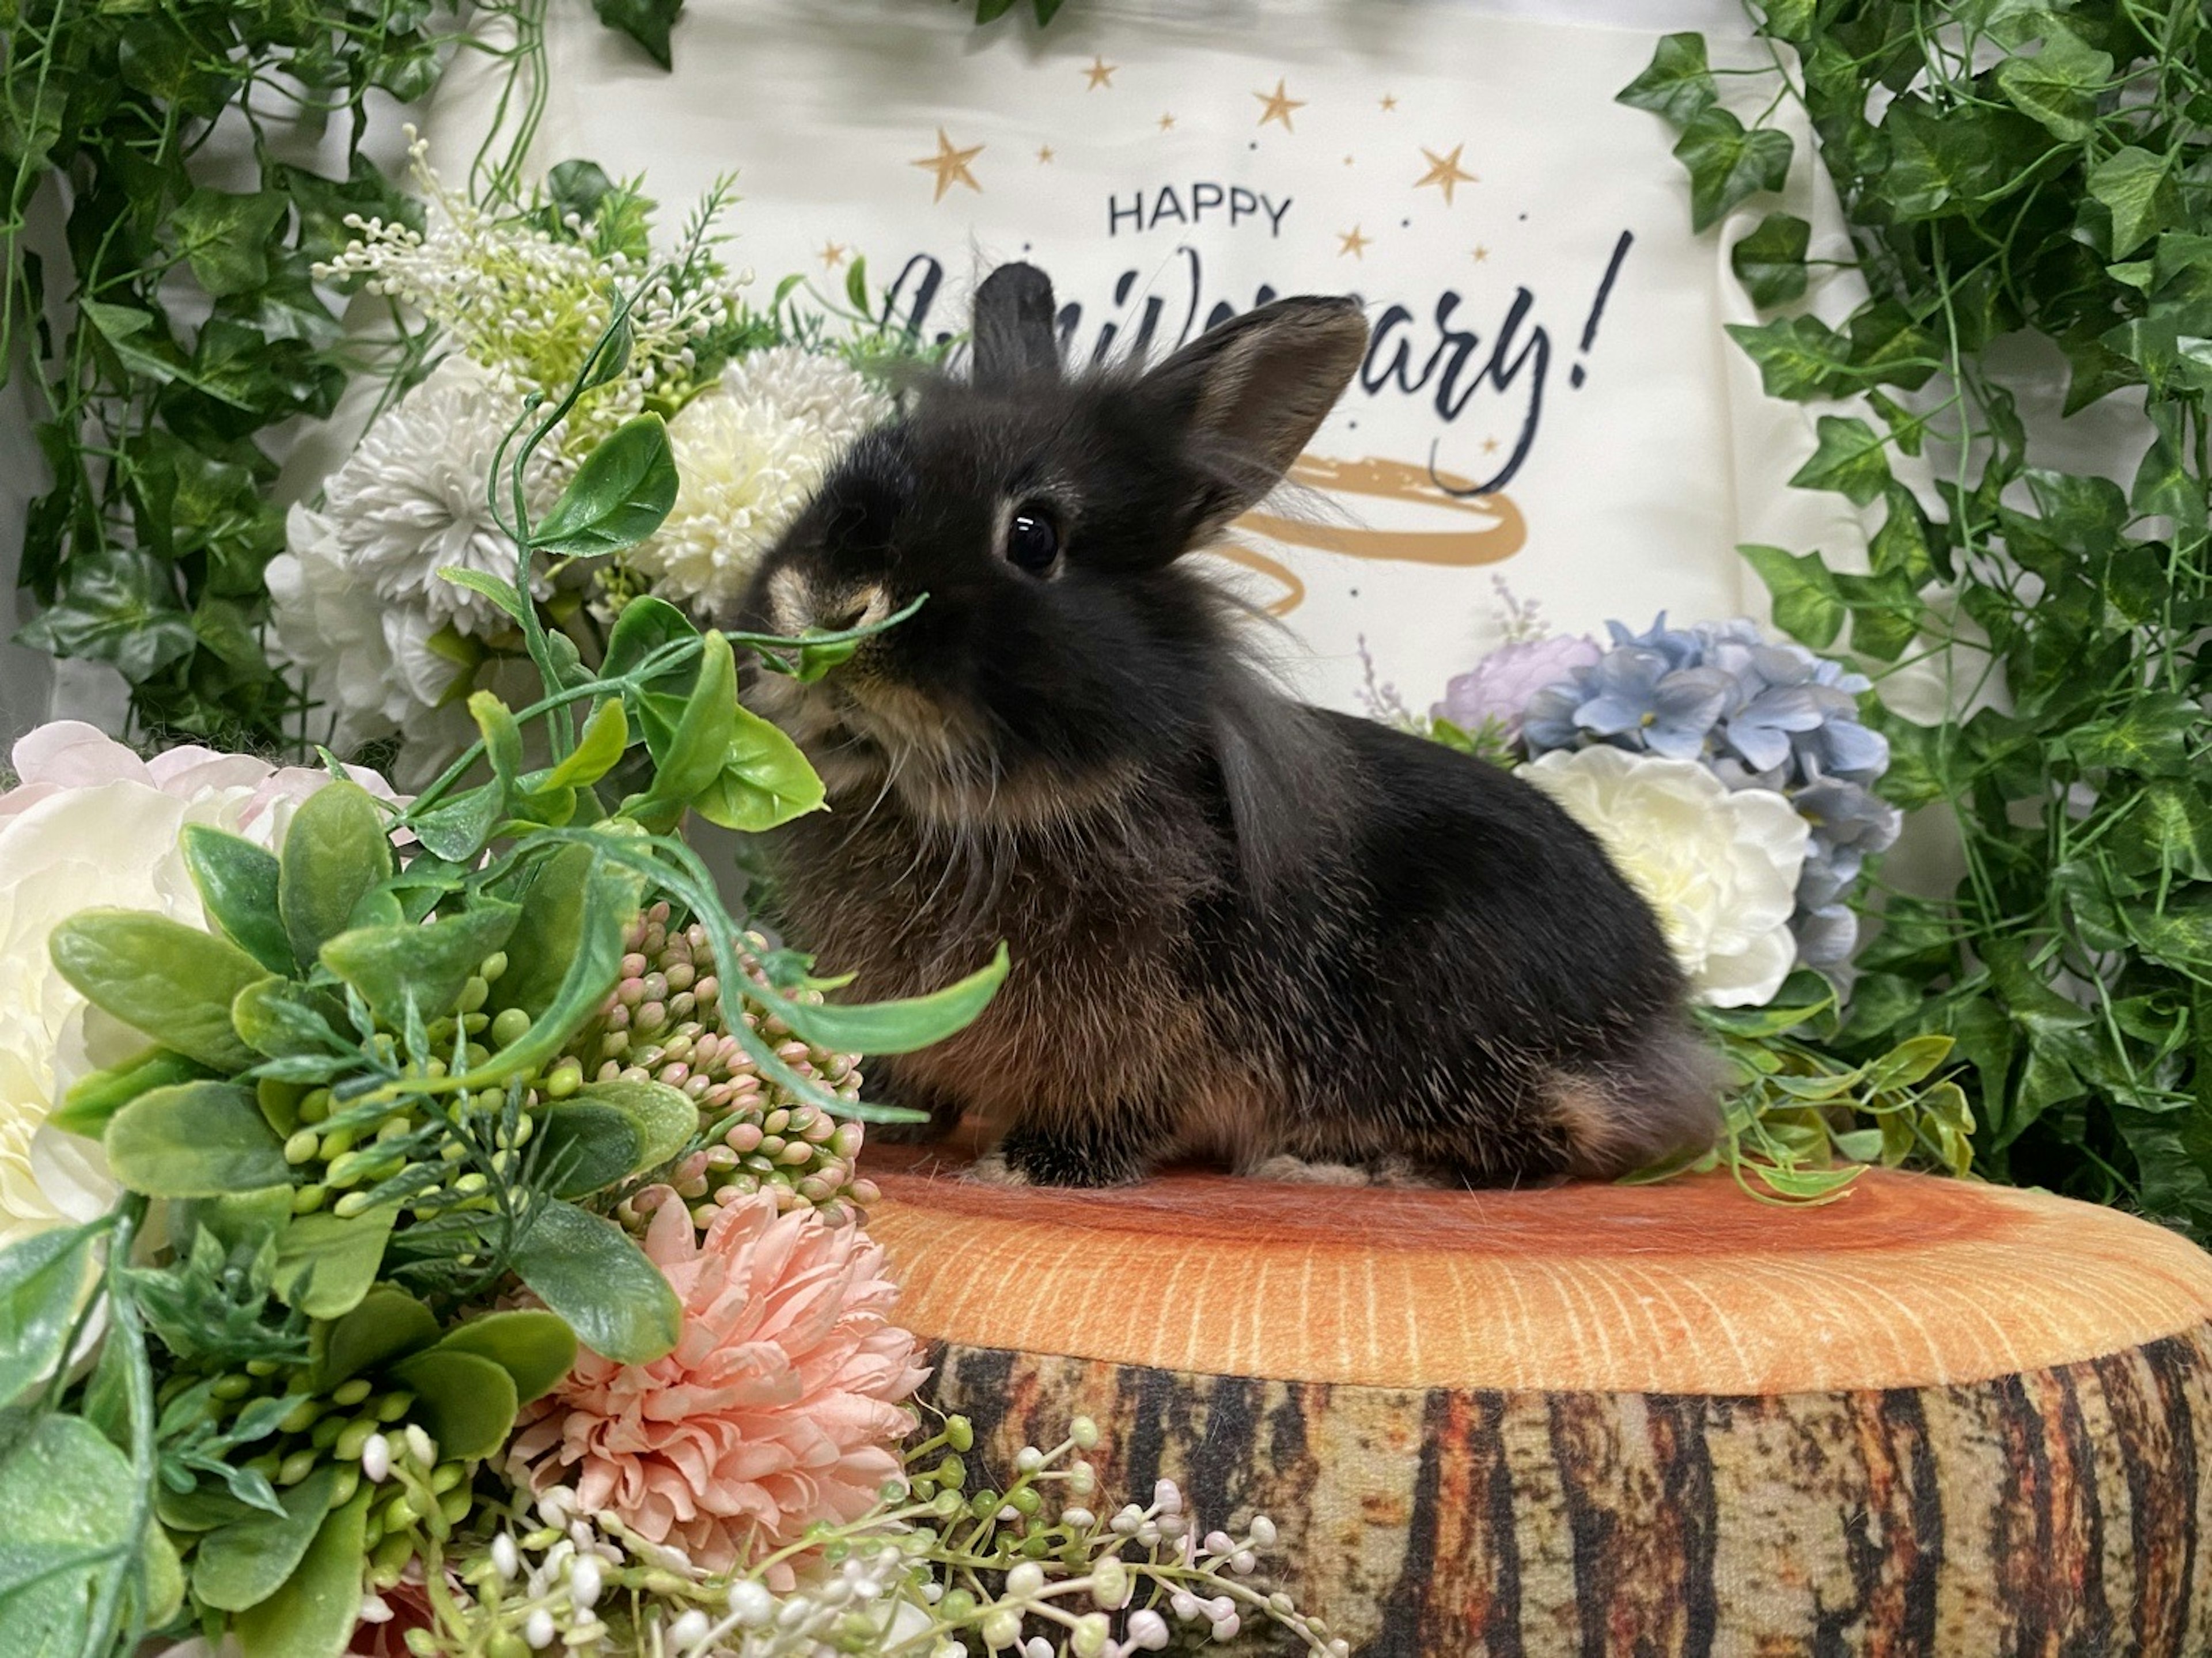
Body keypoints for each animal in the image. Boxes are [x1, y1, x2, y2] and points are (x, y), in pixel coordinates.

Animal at [734, 263, 1716, 1193]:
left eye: (1034, 536)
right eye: (845, 472)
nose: (821, 606)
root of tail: (1664, 1019)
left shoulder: (1151, 1023)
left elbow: (1120, 1101)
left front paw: (1037, 1163)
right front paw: (886, 1110)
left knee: (1551, 1135)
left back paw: (1346, 1164)